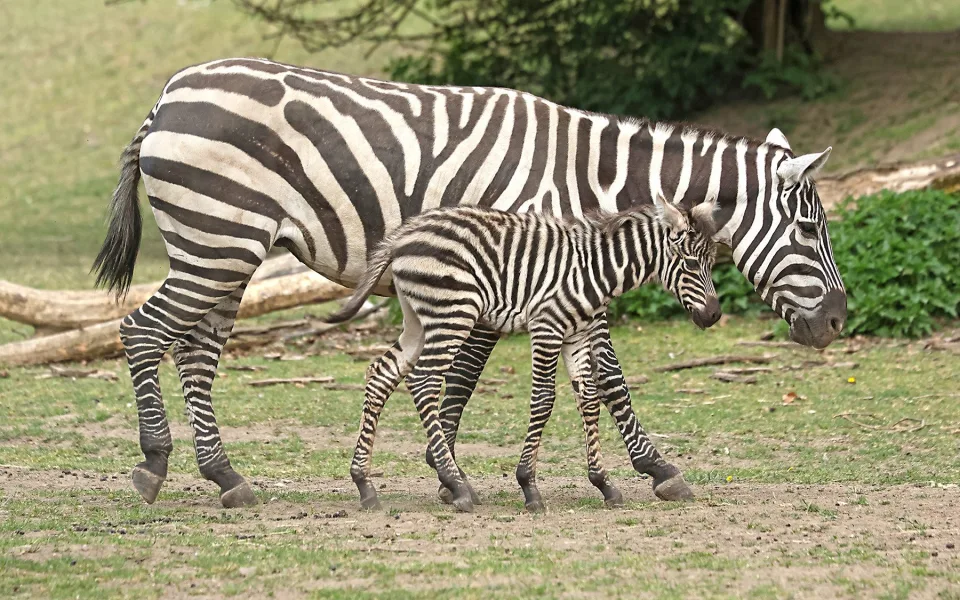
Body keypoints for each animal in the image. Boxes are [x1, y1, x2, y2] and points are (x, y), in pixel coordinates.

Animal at [325, 197, 719, 512]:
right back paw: (456, 486)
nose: (714, 315)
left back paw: (365, 485)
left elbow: (589, 400)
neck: (596, 268)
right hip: (452, 311)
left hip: (417, 320)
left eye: (711, 262)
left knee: (381, 373)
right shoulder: (547, 326)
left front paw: (604, 484)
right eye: (689, 263)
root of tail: (403, 235)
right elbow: (544, 400)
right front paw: (529, 485)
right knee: (423, 381)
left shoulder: (577, 334)